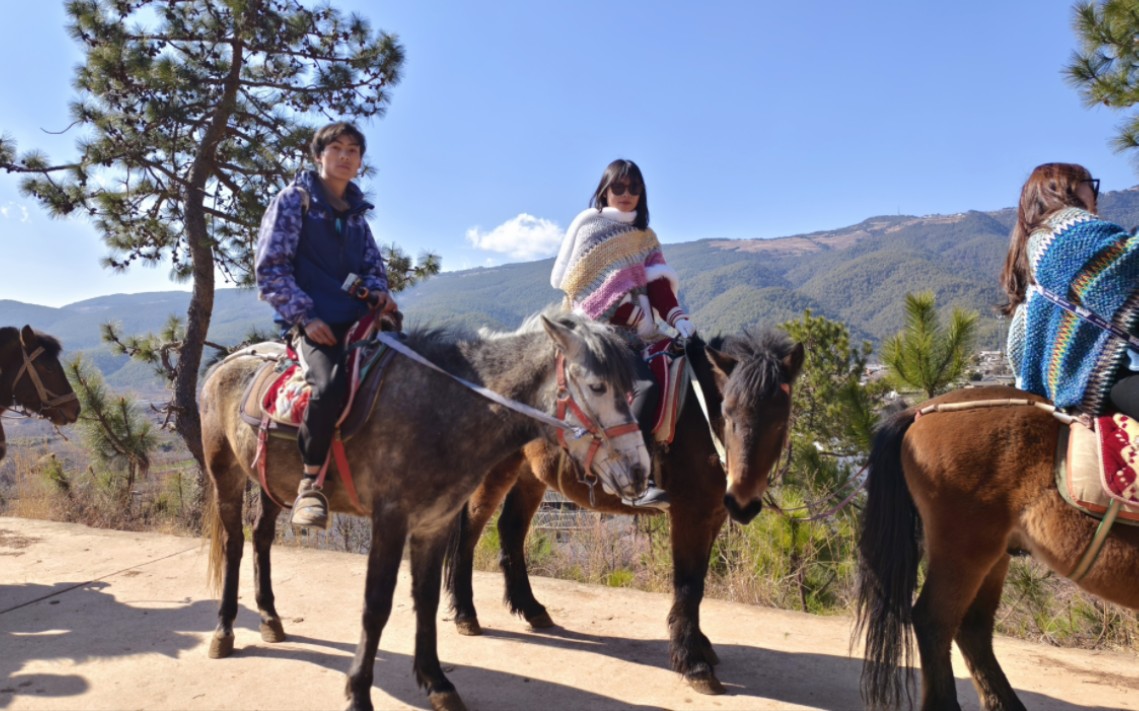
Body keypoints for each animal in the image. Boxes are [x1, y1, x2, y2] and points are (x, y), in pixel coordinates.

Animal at [200, 314, 651, 711]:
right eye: (597, 386)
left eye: (631, 390)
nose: (638, 470)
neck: (439, 410)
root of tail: (225, 362)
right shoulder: (390, 520)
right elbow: (376, 606)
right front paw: (359, 693)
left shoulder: (434, 524)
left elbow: (428, 599)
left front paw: (437, 683)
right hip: (226, 472)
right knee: (234, 544)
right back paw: (223, 632)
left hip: (269, 482)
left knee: (260, 538)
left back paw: (270, 619)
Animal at [439, 332, 806, 692]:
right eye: (728, 415)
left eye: (780, 421)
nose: (743, 503)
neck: (698, 418)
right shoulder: (690, 513)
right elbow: (688, 584)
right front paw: (693, 663)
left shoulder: (713, 512)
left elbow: (698, 581)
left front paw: (700, 645)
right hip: (496, 469)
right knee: (470, 531)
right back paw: (466, 615)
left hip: (531, 474)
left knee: (511, 530)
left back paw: (531, 609)